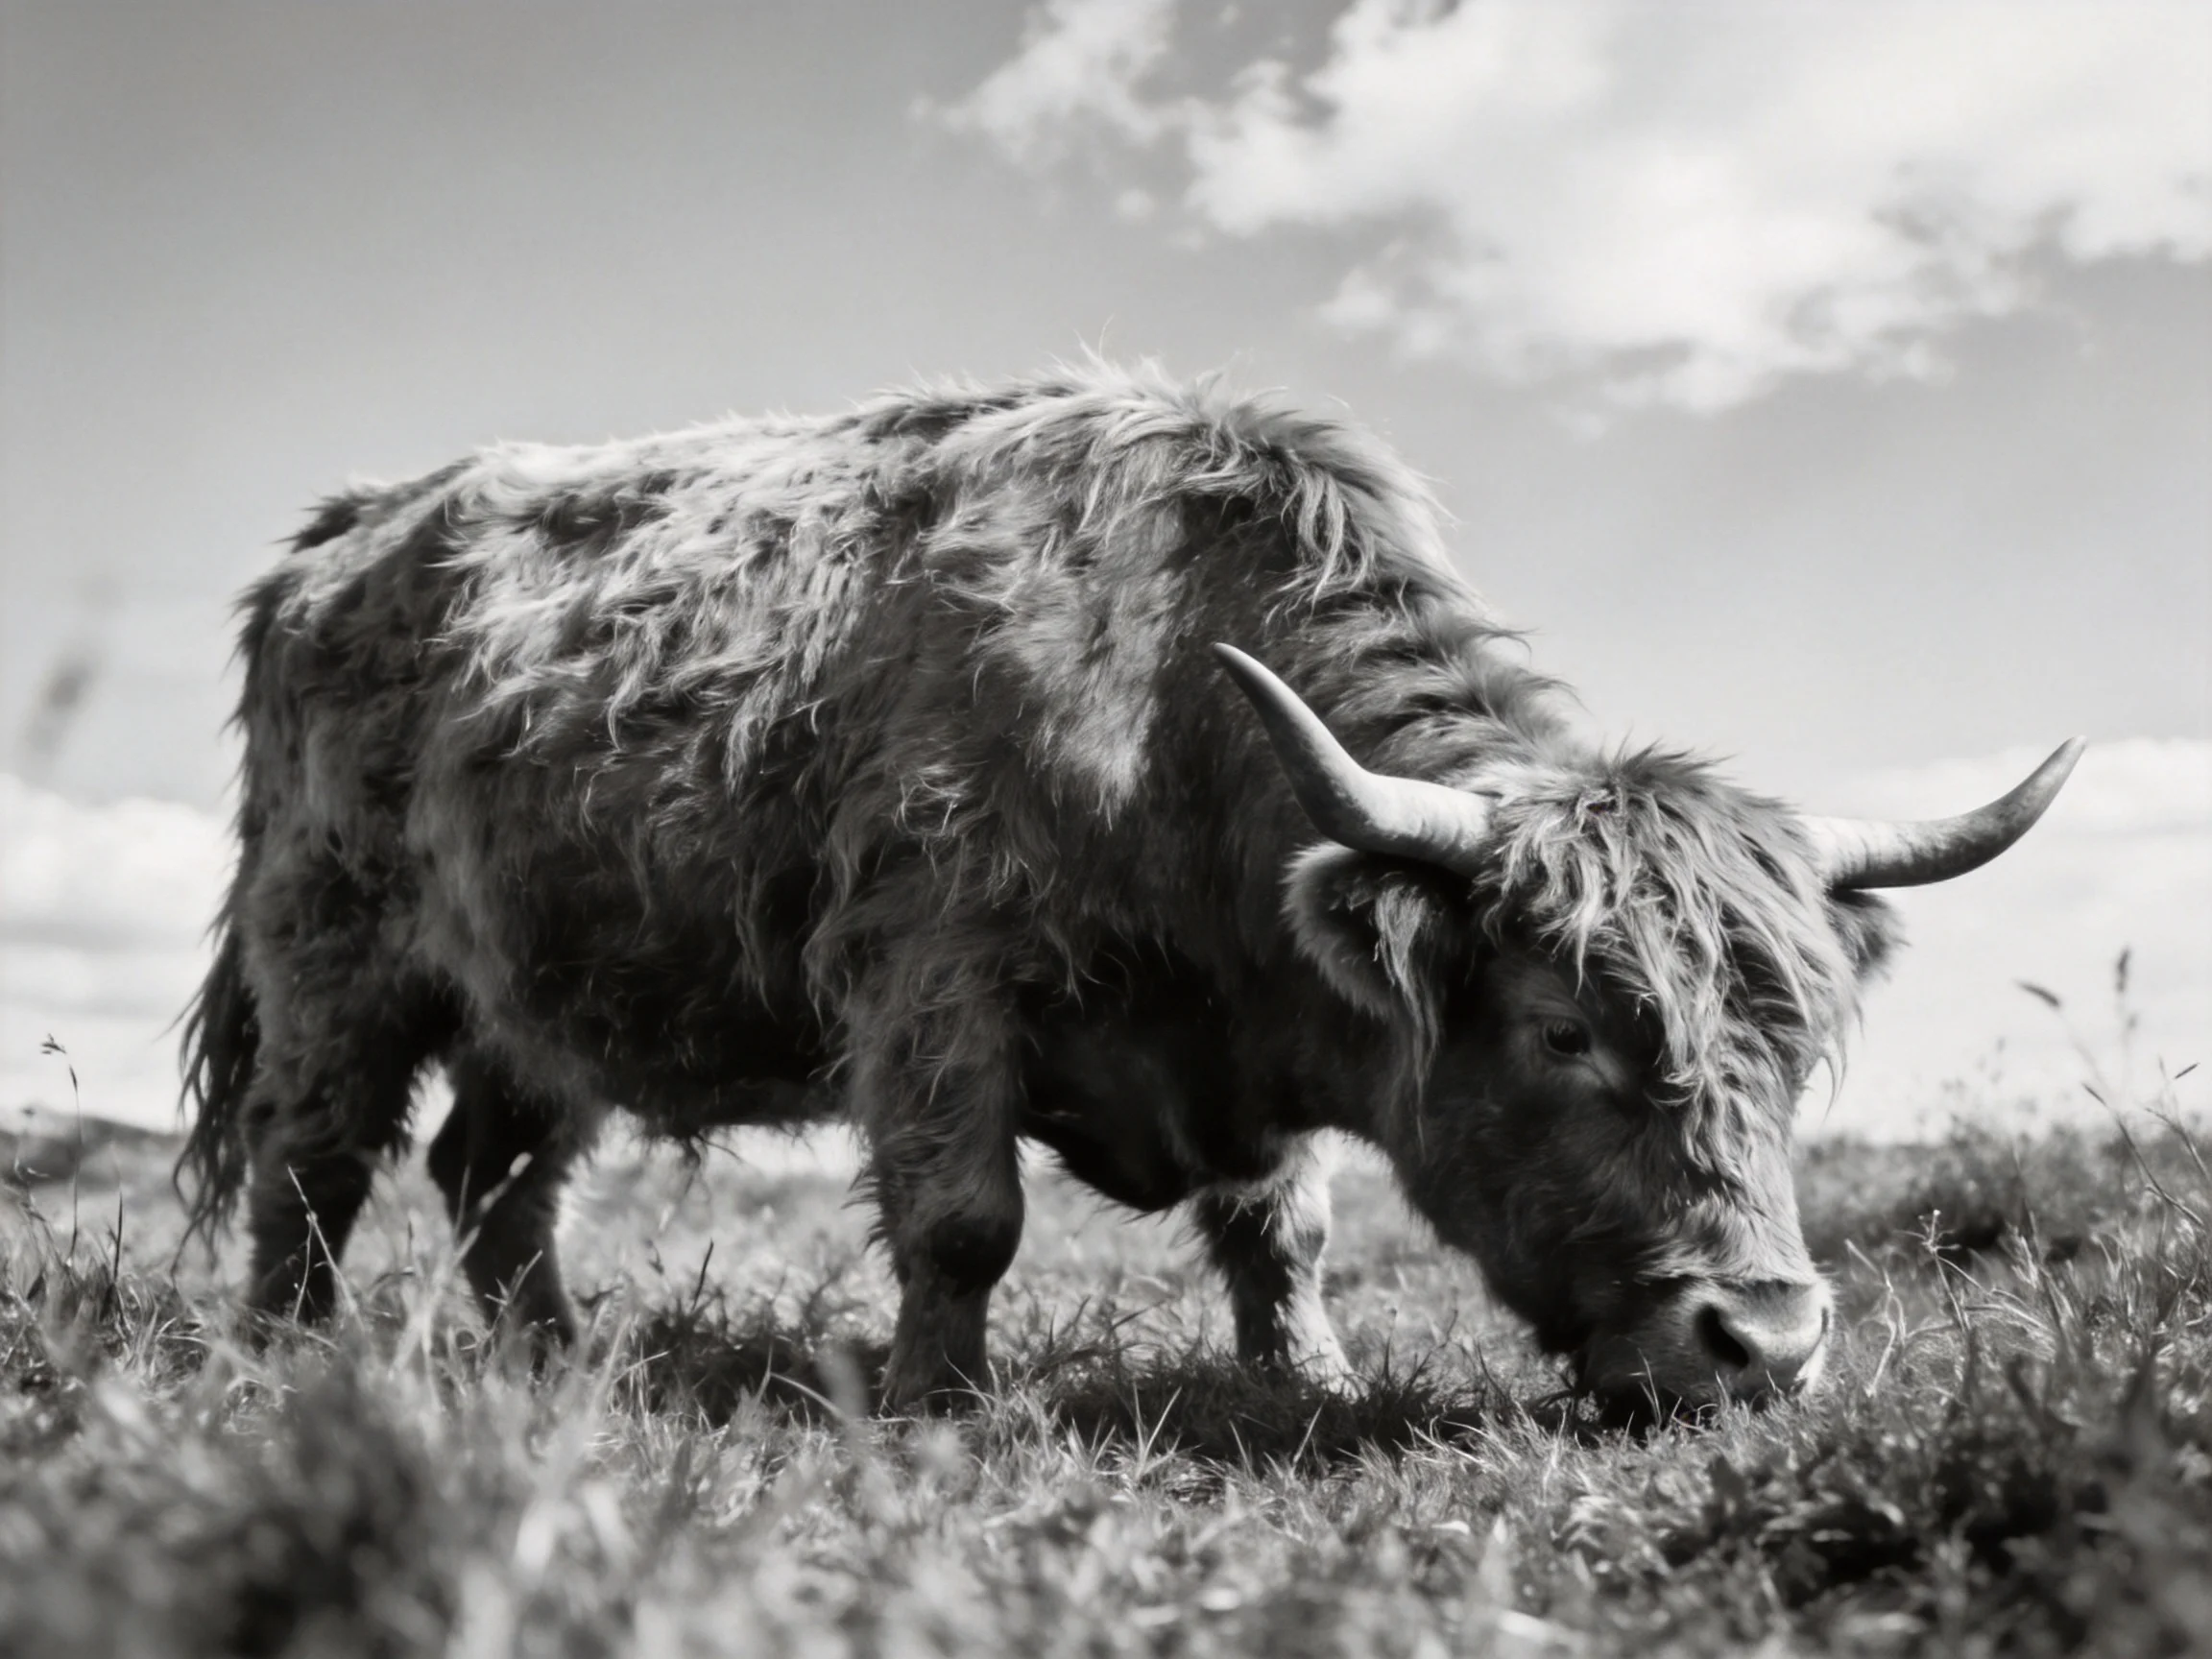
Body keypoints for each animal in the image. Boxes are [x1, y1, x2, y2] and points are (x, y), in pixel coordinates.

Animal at [178, 365, 2079, 1414]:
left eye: (1797, 1047)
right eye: (1562, 1030)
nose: (1763, 1341)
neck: (1168, 701)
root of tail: (340, 536)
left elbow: (1282, 1228)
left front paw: (1305, 1375)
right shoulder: (932, 974)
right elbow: (965, 1217)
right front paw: (940, 1403)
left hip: (548, 989)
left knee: (493, 1177)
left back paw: (560, 1363)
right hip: (334, 949)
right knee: (314, 1156)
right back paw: (283, 1352)